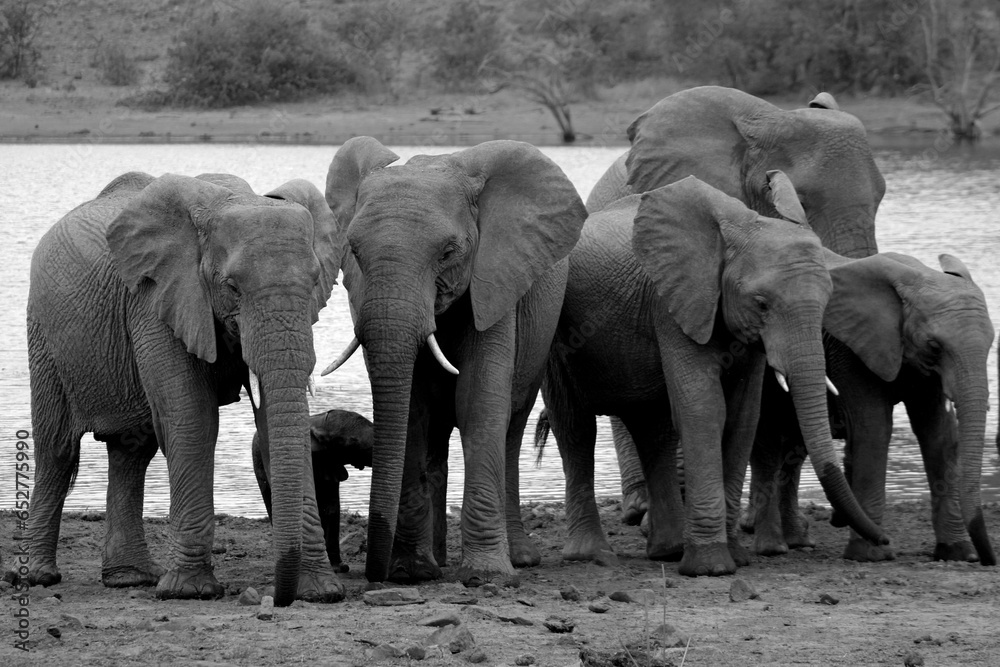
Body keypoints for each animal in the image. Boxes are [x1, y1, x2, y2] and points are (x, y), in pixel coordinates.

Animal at [25, 170, 344, 606]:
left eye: (315, 282)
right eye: (232, 287)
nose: (279, 597)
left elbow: (274, 423)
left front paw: (322, 592)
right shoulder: (156, 300)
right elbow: (193, 418)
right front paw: (189, 591)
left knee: (131, 450)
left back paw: (129, 579)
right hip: (43, 331)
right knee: (57, 448)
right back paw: (36, 578)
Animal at [321, 137, 587, 585]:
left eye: (448, 252)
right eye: (353, 252)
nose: (372, 573)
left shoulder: (494, 284)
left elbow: (478, 400)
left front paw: (487, 576)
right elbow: (413, 409)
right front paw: (411, 572)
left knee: (511, 428)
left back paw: (518, 560)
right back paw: (439, 561)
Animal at [538, 174, 887, 577]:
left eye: (828, 300)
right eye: (762, 304)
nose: (883, 540)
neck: (742, 226)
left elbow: (742, 418)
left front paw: (736, 557)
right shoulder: (671, 302)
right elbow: (704, 409)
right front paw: (711, 567)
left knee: (654, 431)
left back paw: (667, 551)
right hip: (555, 338)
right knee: (576, 429)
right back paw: (592, 554)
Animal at [744, 251, 996, 565]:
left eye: (991, 344)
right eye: (935, 346)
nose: (989, 560)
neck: (915, 277)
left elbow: (938, 433)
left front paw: (959, 553)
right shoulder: (852, 351)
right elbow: (874, 427)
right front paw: (871, 555)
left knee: (795, 448)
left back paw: (798, 542)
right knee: (768, 445)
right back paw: (773, 548)